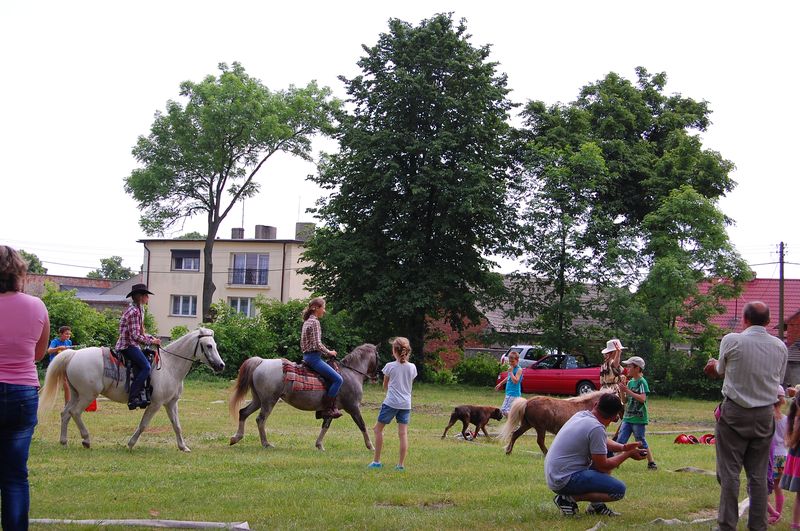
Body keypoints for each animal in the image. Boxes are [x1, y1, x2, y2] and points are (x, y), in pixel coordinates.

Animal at [38, 328, 225, 454]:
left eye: (215, 345)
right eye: (208, 346)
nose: (221, 365)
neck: (169, 367)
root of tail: (73, 354)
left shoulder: (171, 403)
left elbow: (177, 425)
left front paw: (183, 447)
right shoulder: (156, 404)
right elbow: (143, 425)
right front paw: (130, 443)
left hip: (76, 394)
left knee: (65, 413)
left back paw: (63, 441)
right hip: (87, 395)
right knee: (75, 413)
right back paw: (86, 439)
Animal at [228, 342, 378, 450]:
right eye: (378, 356)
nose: (376, 376)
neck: (351, 374)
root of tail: (262, 362)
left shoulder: (331, 409)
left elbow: (326, 425)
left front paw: (319, 445)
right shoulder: (353, 407)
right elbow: (362, 425)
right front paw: (371, 446)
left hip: (258, 400)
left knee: (243, 412)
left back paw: (236, 438)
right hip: (269, 401)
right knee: (260, 419)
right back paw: (266, 443)